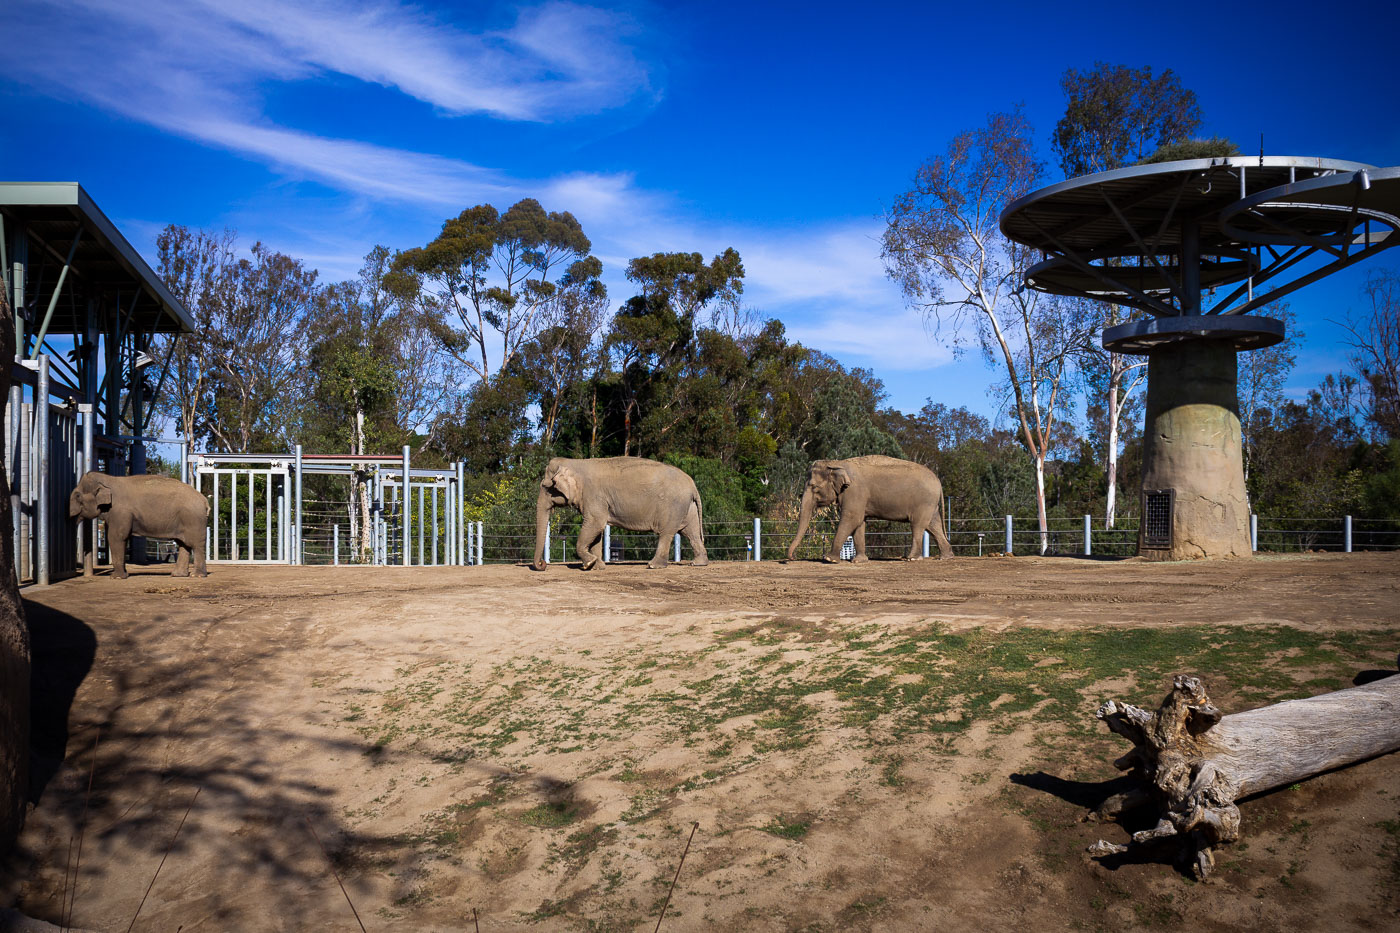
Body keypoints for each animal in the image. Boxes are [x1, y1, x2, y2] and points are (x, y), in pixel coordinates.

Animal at [68, 473, 210, 574]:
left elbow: (116, 537)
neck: (108, 479)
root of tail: (204, 500)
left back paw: (197, 575)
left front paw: (117, 577)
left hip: (194, 519)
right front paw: (123, 574)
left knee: (196, 545)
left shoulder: (121, 511)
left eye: (78, 496)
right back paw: (177, 575)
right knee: (183, 544)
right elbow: (122, 538)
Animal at [534, 456, 711, 571]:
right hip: (688, 507)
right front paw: (598, 566)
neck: (575, 462)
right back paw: (698, 563)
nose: (542, 565)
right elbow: (597, 530)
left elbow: (595, 523)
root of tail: (692, 484)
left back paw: (652, 565)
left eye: (546, 486)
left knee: (666, 533)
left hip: (674, 506)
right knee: (691, 532)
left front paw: (588, 564)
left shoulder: (594, 495)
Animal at [789, 451, 952, 560]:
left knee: (918, 525)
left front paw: (829, 559)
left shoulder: (854, 492)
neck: (837, 463)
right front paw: (859, 560)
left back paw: (912, 558)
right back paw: (946, 556)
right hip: (930, 504)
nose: (791, 558)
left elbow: (852, 518)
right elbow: (860, 522)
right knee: (933, 525)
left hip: (923, 502)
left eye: (814, 487)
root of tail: (938, 481)